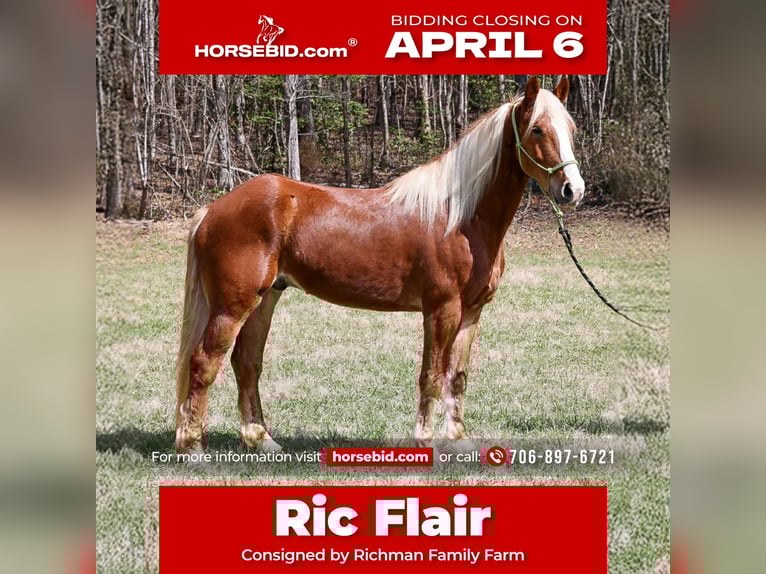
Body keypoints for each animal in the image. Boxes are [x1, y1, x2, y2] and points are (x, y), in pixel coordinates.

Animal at [174, 77, 585, 454]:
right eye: (537, 129)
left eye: (571, 128)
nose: (573, 189)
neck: (459, 217)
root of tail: (213, 210)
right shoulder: (442, 310)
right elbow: (431, 375)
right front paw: (426, 443)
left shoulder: (472, 311)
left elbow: (458, 376)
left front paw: (459, 440)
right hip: (233, 307)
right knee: (203, 363)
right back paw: (193, 449)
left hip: (265, 300)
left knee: (246, 363)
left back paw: (261, 440)